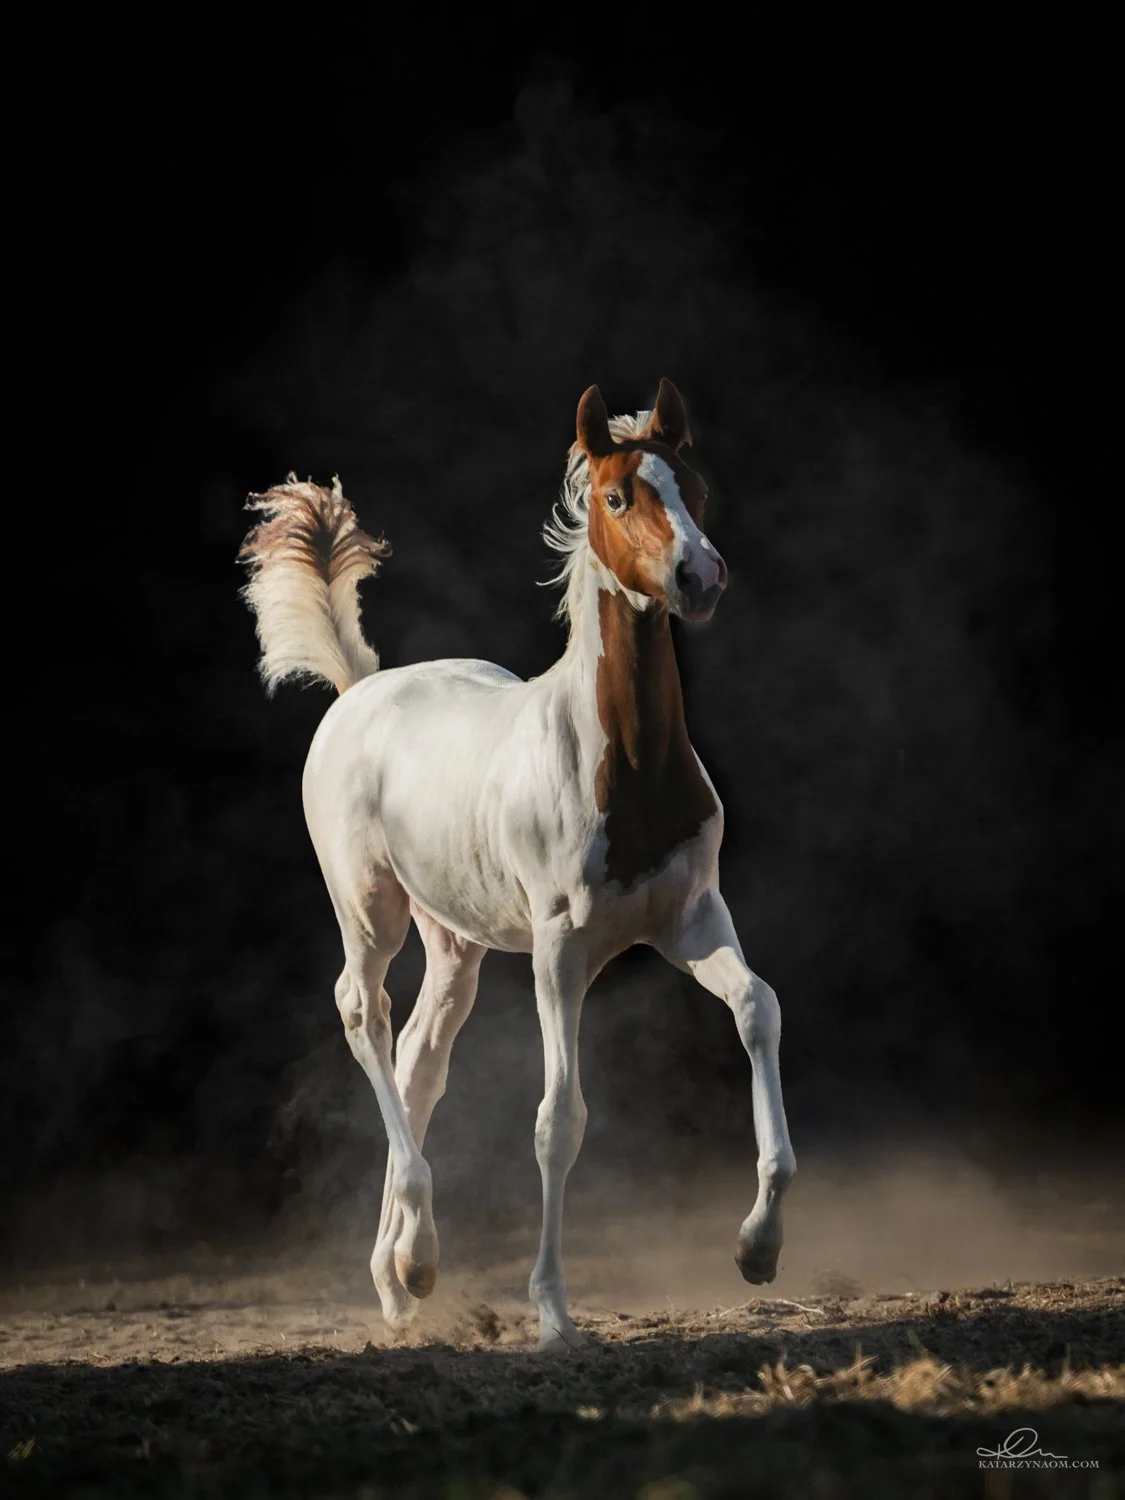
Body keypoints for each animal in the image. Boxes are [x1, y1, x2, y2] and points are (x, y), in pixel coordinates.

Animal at [239, 379, 796, 1351]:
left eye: (691, 485)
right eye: (617, 496)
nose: (700, 577)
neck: (628, 765)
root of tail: (359, 689)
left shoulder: (691, 919)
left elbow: (757, 1010)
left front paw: (757, 1247)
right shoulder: (559, 951)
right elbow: (557, 1118)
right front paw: (554, 1313)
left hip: (454, 941)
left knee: (420, 1059)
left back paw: (398, 1279)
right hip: (369, 911)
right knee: (363, 1014)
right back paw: (417, 1261)